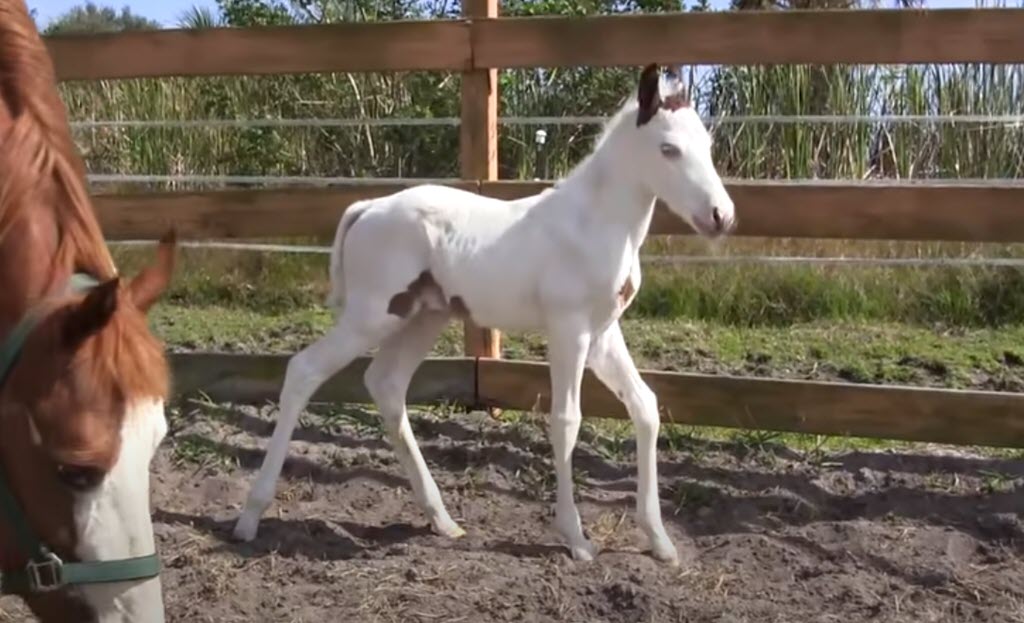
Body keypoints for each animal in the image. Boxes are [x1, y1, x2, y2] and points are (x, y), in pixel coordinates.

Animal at [234, 63, 729, 565]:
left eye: (708, 145)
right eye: (668, 149)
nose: (721, 216)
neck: (594, 225)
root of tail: (366, 207)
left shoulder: (604, 333)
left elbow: (645, 406)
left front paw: (661, 542)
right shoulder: (569, 329)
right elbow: (566, 420)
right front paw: (576, 539)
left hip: (421, 318)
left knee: (386, 385)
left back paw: (442, 519)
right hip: (370, 316)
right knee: (304, 370)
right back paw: (249, 518)